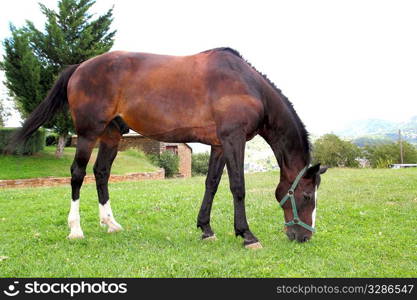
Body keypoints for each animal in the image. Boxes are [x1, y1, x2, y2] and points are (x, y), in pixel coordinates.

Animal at [8, 47, 324, 248]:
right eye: (307, 196)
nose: (305, 237)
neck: (248, 86)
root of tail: (79, 67)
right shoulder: (233, 140)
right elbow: (237, 187)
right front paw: (246, 235)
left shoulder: (219, 144)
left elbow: (211, 184)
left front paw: (206, 229)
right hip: (88, 134)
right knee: (77, 173)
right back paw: (76, 230)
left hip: (111, 135)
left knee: (101, 173)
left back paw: (110, 223)